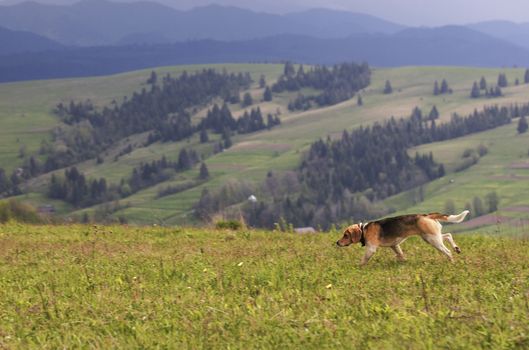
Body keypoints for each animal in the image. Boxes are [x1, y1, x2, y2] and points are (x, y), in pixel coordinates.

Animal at [336, 211, 468, 266]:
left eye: (345, 235)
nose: (337, 242)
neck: (364, 229)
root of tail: (427, 215)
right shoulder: (394, 246)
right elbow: (400, 255)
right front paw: (404, 263)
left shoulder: (371, 249)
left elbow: (363, 260)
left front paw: (358, 267)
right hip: (432, 236)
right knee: (448, 235)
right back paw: (456, 248)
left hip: (433, 239)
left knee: (447, 251)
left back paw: (451, 261)